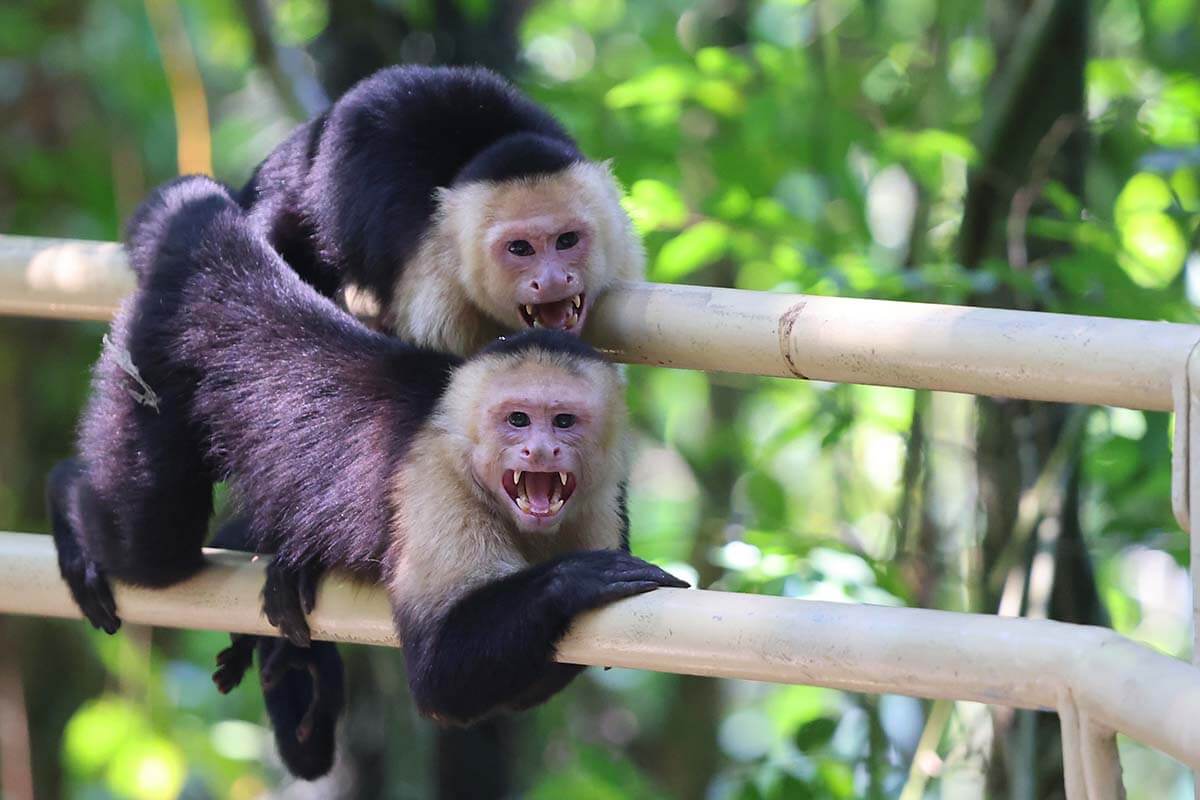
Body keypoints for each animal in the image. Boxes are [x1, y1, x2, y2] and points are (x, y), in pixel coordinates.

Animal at [46, 178, 686, 777]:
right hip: (151, 346)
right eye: (518, 419)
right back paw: (66, 503)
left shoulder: (601, 502)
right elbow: (436, 673)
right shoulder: (435, 485)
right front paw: (576, 580)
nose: (540, 448)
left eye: (565, 421)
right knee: (147, 547)